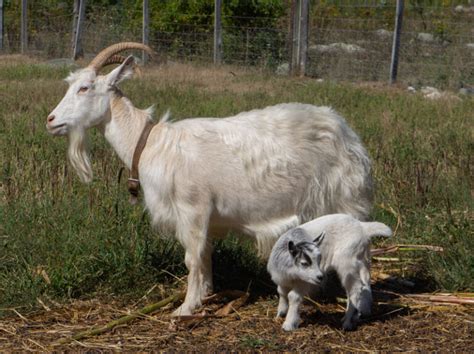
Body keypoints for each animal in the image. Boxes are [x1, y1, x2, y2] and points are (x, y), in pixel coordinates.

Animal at [47, 42, 374, 316]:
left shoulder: (192, 209)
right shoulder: (204, 218)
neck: (151, 143)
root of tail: (348, 136)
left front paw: (185, 308)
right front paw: (205, 294)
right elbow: (204, 256)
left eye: (84, 88)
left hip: (345, 198)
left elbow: (191, 258)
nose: (50, 120)